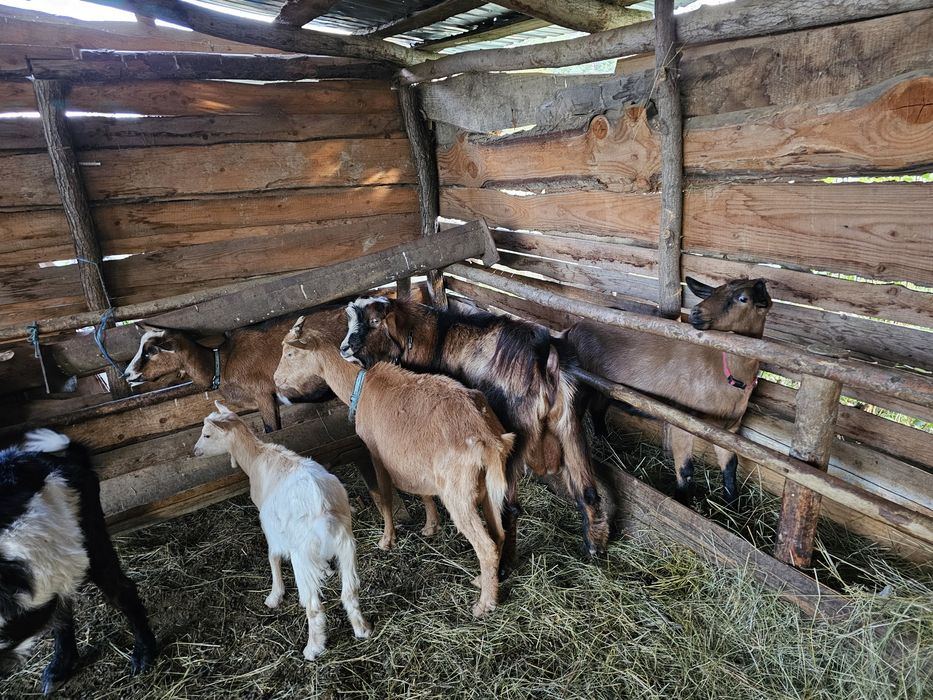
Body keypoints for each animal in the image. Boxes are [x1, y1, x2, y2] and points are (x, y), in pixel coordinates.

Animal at [193, 402, 371, 660]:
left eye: (207, 434)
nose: (195, 451)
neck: (256, 456)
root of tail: (324, 512)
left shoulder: (270, 524)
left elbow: (273, 556)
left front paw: (274, 595)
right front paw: (325, 570)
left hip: (301, 555)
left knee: (314, 606)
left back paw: (313, 647)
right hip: (346, 546)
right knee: (350, 592)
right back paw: (361, 630)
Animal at [275, 316, 514, 618]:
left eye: (290, 353)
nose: (276, 381)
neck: (361, 386)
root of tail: (489, 439)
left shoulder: (376, 453)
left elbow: (385, 497)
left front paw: (386, 540)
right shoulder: (411, 460)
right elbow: (423, 492)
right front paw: (430, 526)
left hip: (459, 495)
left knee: (486, 546)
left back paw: (484, 603)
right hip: (490, 489)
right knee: (498, 535)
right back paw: (484, 580)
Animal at [339, 296, 609, 575]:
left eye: (374, 321)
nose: (344, 348)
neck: (431, 336)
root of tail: (548, 361)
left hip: (515, 436)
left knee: (509, 507)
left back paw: (504, 565)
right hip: (570, 424)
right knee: (587, 490)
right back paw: (595, 547)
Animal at [565, 277, 773, 506]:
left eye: (743, 298)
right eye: (713, 292)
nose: (696, 313)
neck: (726, 374)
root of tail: (575, 326)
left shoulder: (728, 430)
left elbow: (730, 468)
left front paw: (730, 505)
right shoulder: (681, 420)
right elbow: (685, 470)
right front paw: (682, 501)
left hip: (603, 386)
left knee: (598, 410)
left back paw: (606, 442)